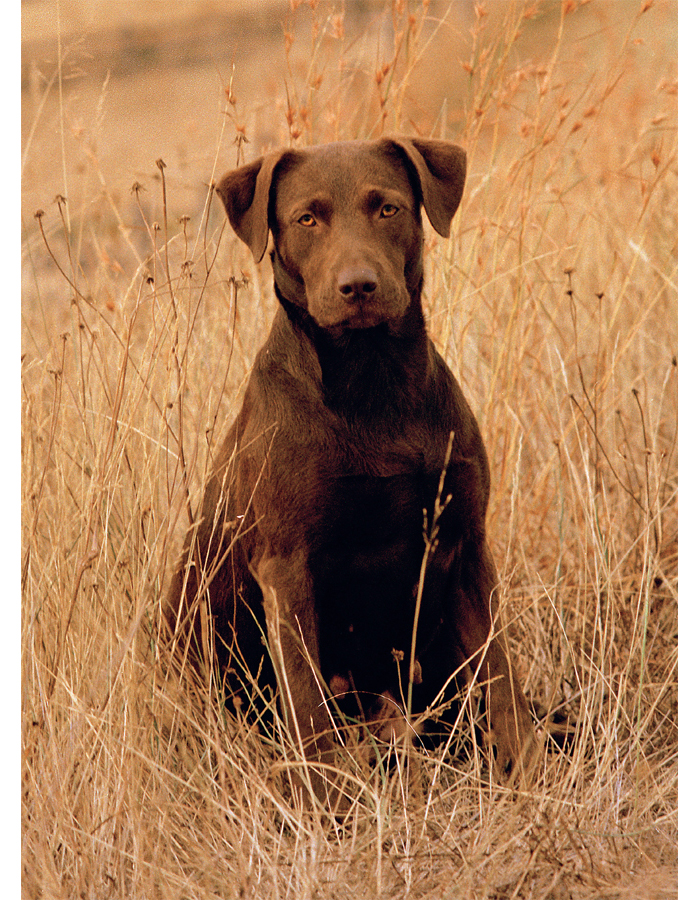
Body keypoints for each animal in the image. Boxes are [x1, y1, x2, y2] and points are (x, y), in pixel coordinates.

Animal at [165, 135, 536, 800]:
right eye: (306, 219)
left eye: (387, 208)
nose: (357, 286)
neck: (372, 383)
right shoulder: (286, 568)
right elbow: (309, 710)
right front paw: (326, 806)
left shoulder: (466, 543)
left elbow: (502, 682)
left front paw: (531, 777)